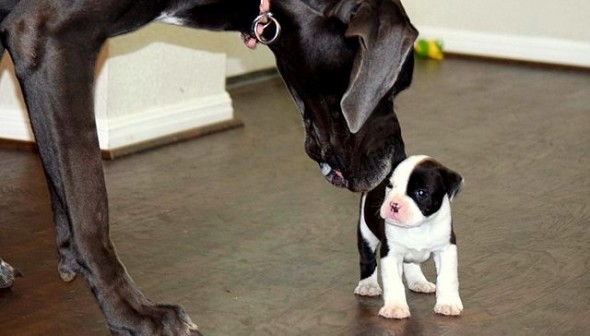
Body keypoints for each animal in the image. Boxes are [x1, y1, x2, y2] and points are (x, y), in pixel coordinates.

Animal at [356, 155, 468, 318]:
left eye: (421, 193)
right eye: (390, 186)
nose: (394, 204)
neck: (418, 227)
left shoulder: (446, 249)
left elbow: (447, 277)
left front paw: (447, 303)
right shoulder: (391, 254)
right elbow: (393, 281)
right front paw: (395, 307)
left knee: (411, 263)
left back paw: (419, 282)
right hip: (366, 232)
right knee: (368, 259)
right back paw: (368, 285)